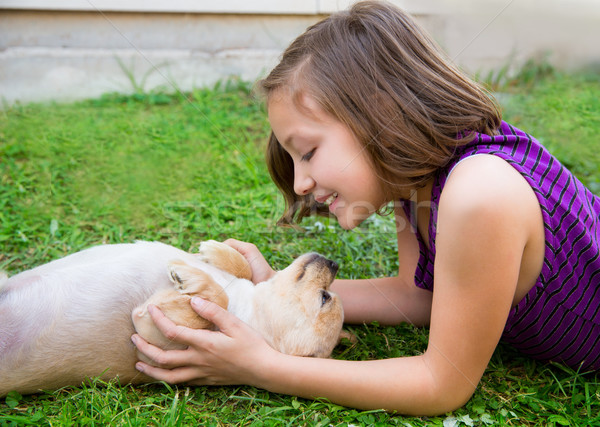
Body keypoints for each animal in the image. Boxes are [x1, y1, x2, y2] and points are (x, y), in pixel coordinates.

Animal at [0, 241, 342, 398]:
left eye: (325, 298)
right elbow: (242, 269)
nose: (334, 263)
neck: (247, 308)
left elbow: (215, 300)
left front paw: (190, 277)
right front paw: (217, 252)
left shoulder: (151, 326)